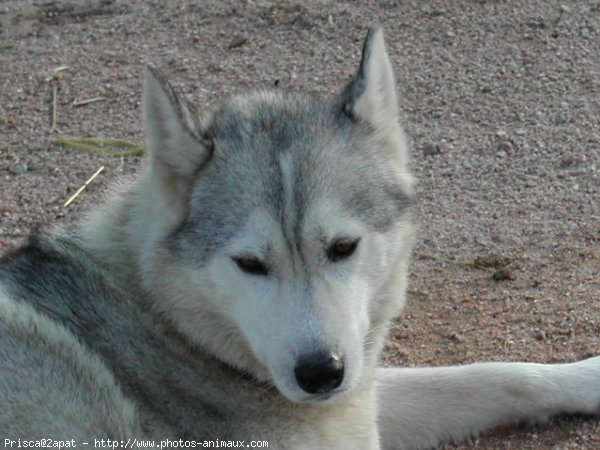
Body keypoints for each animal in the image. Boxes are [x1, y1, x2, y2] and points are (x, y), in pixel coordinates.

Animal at [1, 28, 600, 450]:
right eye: (249, 264)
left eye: (342, 248)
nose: (320, 374)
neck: (167, 324)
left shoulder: (358, 395)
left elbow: (492, 376)